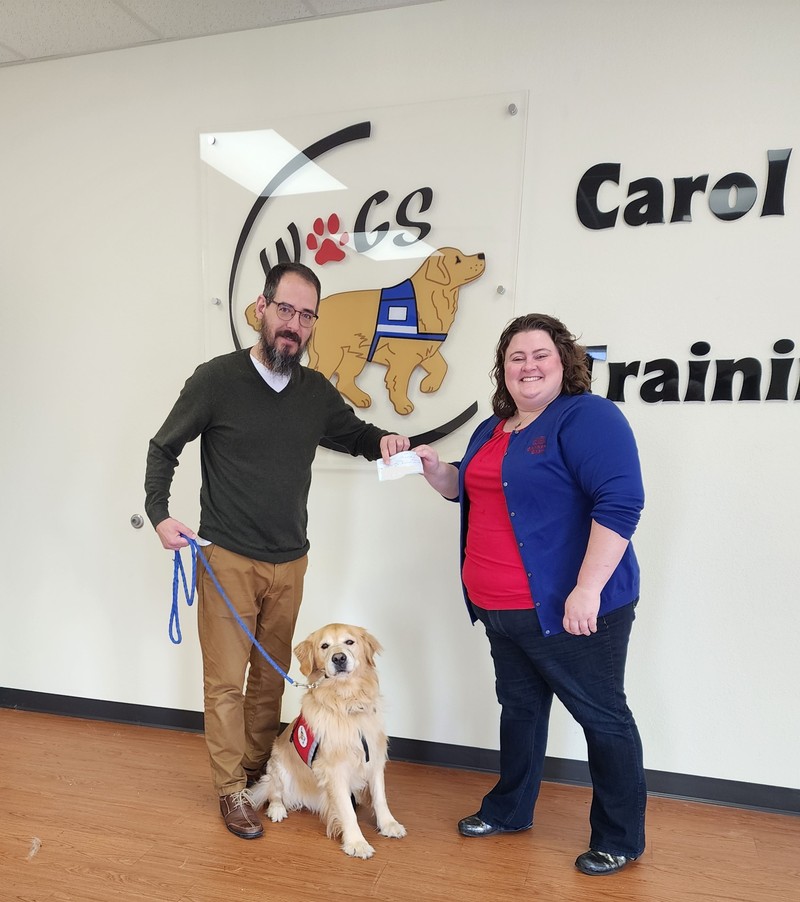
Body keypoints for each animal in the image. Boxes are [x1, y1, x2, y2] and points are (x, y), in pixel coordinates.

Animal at [245, 624, 406, 860]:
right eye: (324, 646)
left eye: (349, 642)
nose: (339, 658)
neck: (347, 702)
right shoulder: (334, 769)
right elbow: (347, 811)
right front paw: (356, 842)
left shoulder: (374, 758)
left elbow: (380, 797)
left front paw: (388, 824)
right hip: (278, 766)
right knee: (274, 791)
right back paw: (277, 809)